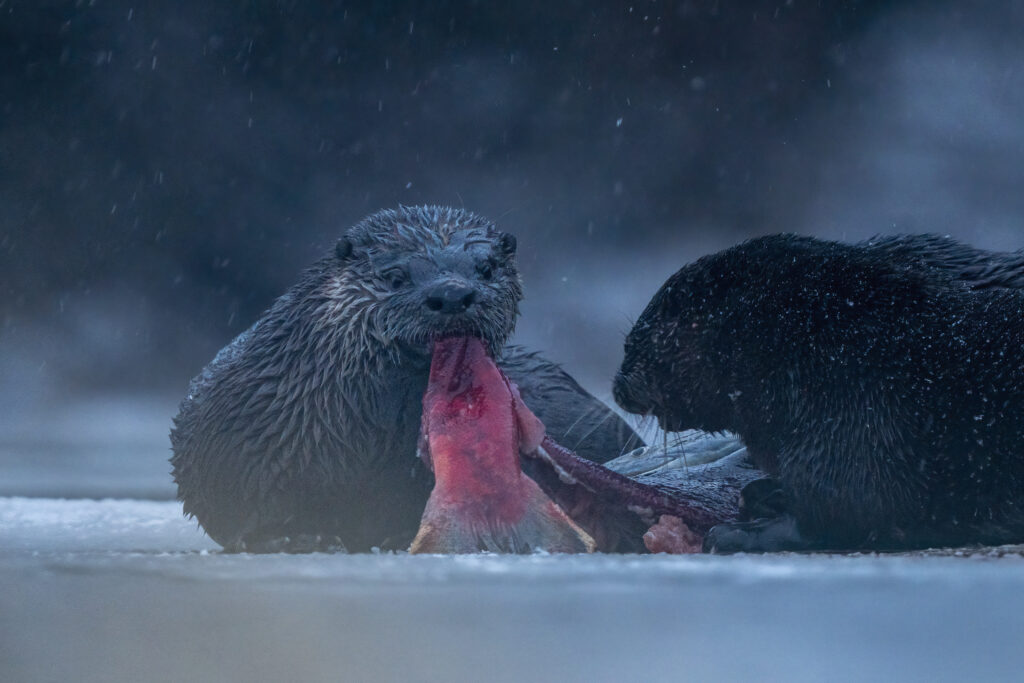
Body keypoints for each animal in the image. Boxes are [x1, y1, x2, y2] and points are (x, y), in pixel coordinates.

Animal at [614, 233, 1024, 552]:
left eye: (633, 345)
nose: (617, 388)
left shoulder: (853, 424)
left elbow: (837, 515)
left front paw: (732, 534)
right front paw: (766, 493)